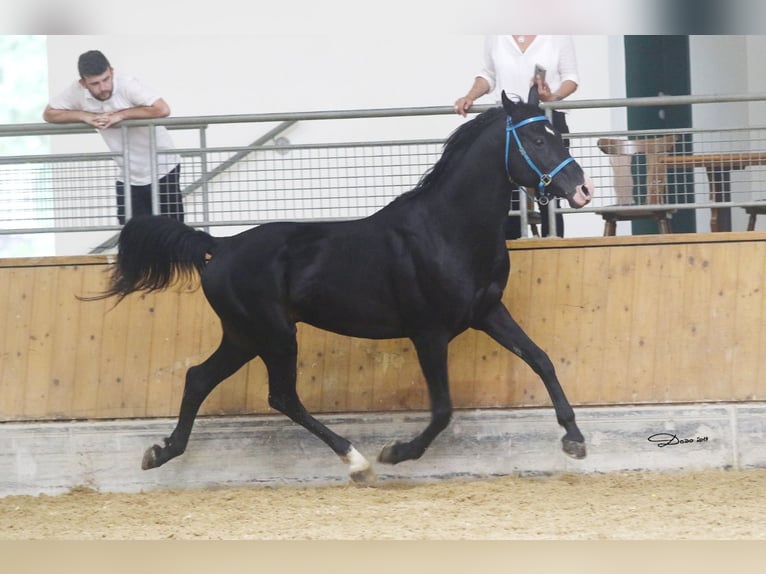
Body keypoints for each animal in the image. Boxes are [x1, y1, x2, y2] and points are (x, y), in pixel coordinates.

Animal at [94, 92, 592, 484]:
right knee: (282, 397)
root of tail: (220, 245)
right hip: (274, 336)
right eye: (538, 140)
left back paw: (161, 452)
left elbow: (541, 360)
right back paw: (356, 461)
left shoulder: (488, 313)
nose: (582, 190)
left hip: (244, 336)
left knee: (198, 378)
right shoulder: (429, 334)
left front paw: (574, 439)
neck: (447, 230)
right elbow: (443, 409)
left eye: (560, 135)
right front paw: (396, 452)